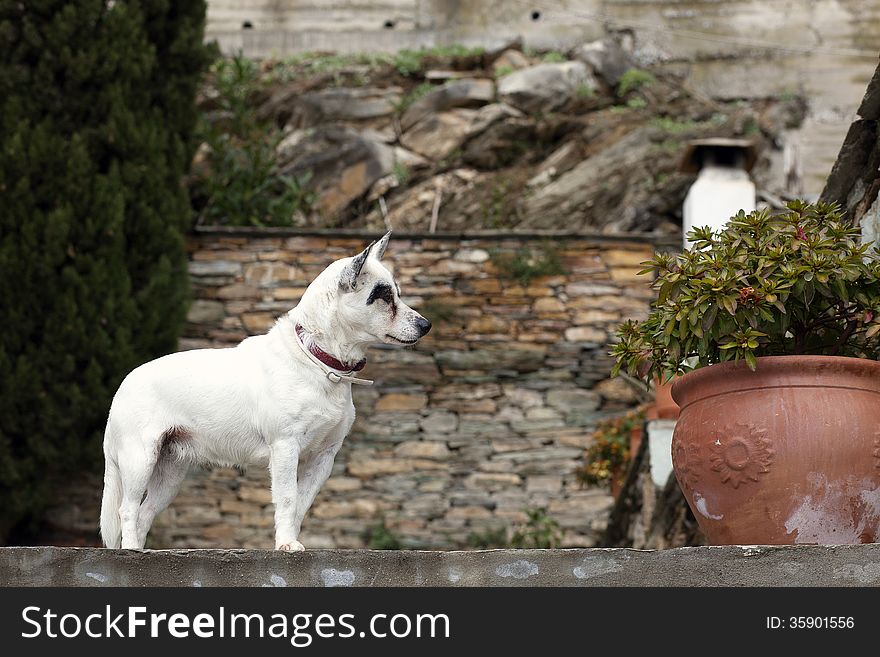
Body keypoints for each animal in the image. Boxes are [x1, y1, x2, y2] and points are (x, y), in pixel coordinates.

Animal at [99, 233, 430, 552]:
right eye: (383, 296)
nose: (425, 325)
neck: (317, 359)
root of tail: (122, 387)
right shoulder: (285, 447)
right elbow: (286, 498)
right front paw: (286, 544)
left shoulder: (324, 457)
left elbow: (301, 504)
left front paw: (289, 539)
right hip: (140, 460)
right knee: (127, 510)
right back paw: (129, 551)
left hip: (170, 471)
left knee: (144, 513)